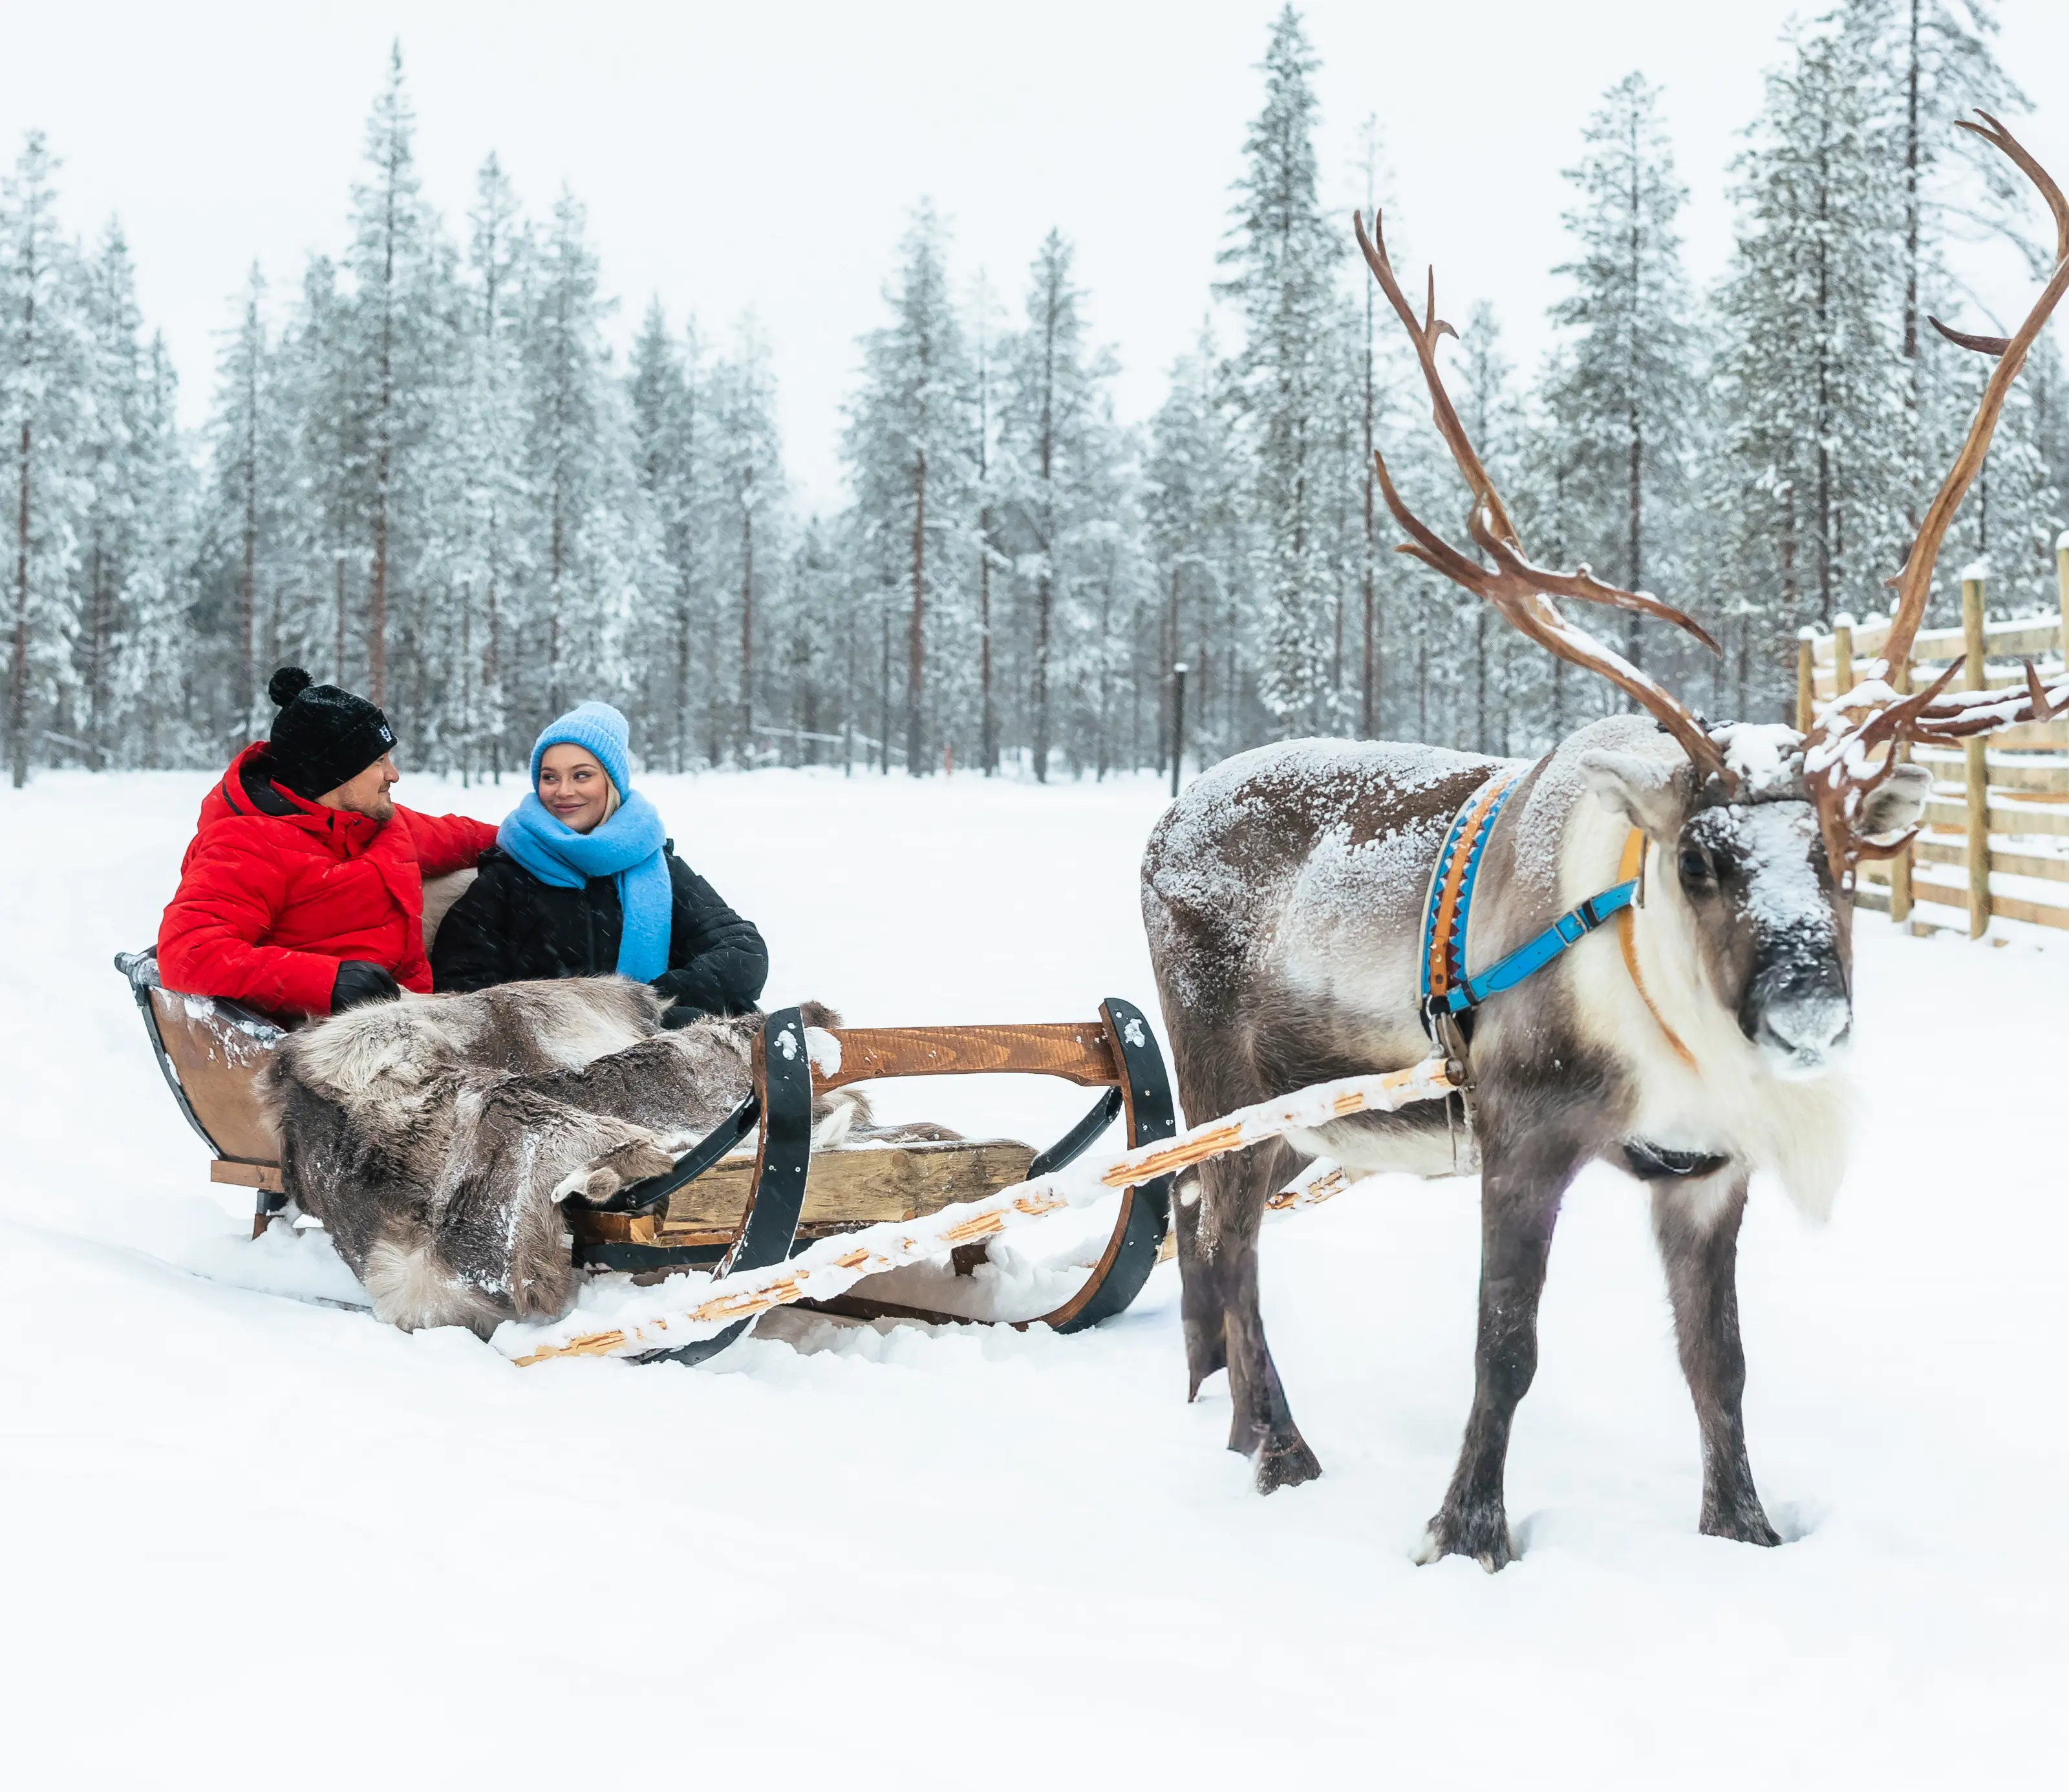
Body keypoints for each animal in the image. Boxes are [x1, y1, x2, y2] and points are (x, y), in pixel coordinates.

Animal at [1141, 113, 2069, 1570]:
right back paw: (1283, 1452)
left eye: (1846, 857)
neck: (1662, 1022)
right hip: (1222, 1075)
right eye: (1699, 857)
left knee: (1202, 1220)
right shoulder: (1522, 1138)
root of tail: (1163, 818)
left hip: (1300, 1114)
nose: (1811, 1009)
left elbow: (1718, 1362)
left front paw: (1744, 1529)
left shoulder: (1704, 1171)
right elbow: (1505, 1348)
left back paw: (1228, 1421)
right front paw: (1464, 1532)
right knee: (1221, 1226)